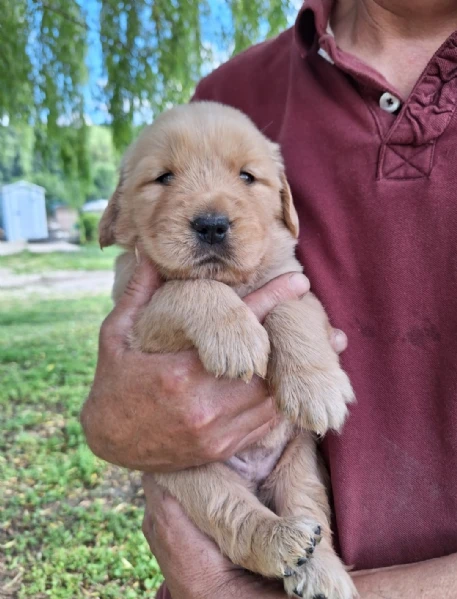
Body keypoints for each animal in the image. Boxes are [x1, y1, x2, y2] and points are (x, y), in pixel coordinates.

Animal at [99, 103, 356, 599]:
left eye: (247, 177)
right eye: (163, 177)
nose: (212, 225)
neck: (233, 282)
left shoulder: (294, 282)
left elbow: (289, 312)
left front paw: (316, 388)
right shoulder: (138, 323)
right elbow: (187, 289)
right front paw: (238, 337)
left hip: (300, 460)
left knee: (310, 509)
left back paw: (322, 572)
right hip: (193, 478)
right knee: (237, 520)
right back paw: (281, 541)